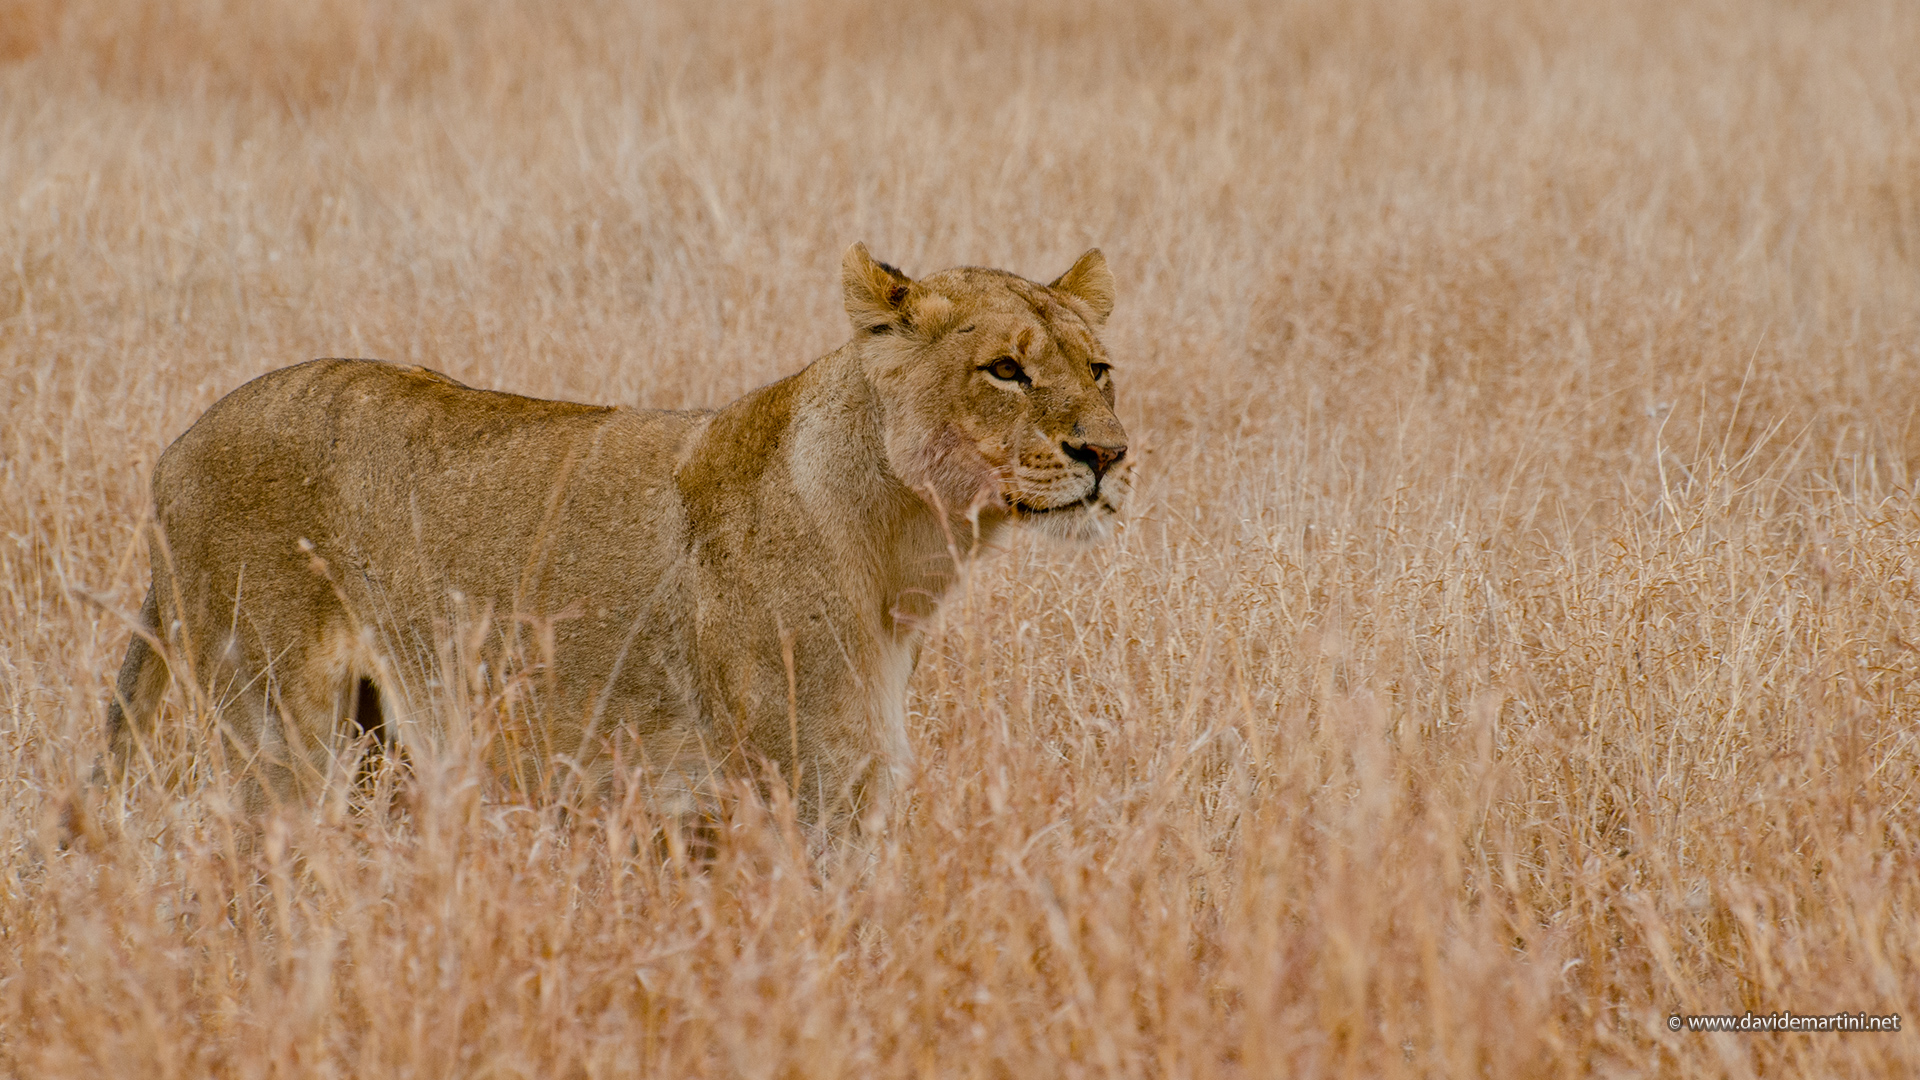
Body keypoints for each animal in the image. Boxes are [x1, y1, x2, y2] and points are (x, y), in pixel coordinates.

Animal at [105, 243, 1130, 840]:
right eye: (1004, 370)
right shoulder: (802, 785)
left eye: (1100, 370)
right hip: (283, 731)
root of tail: (175, 447)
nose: (1109, 455)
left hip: (370, 738)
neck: (910, 542)